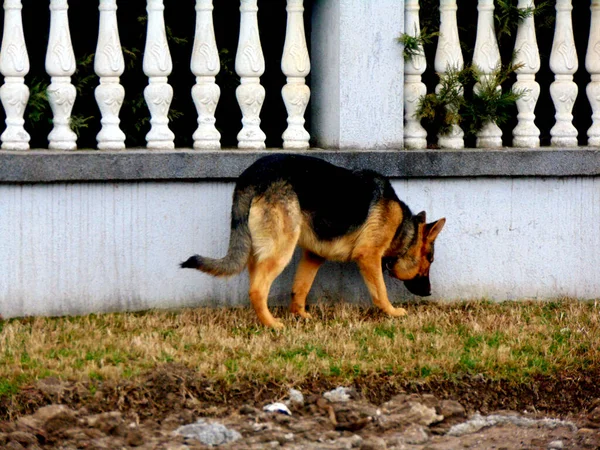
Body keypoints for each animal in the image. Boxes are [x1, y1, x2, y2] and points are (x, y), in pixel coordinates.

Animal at [182, 154, 446, 326]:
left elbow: (300, 288)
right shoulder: (368, 257)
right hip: (281, 250)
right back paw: (272, 324)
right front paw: (392, 312)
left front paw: (300, 315)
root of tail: (251, 176)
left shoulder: (313, 256)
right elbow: (380, 292)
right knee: (257, 289)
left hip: (258, 251)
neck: (403, 227)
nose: (430, 293)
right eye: (431, 260)